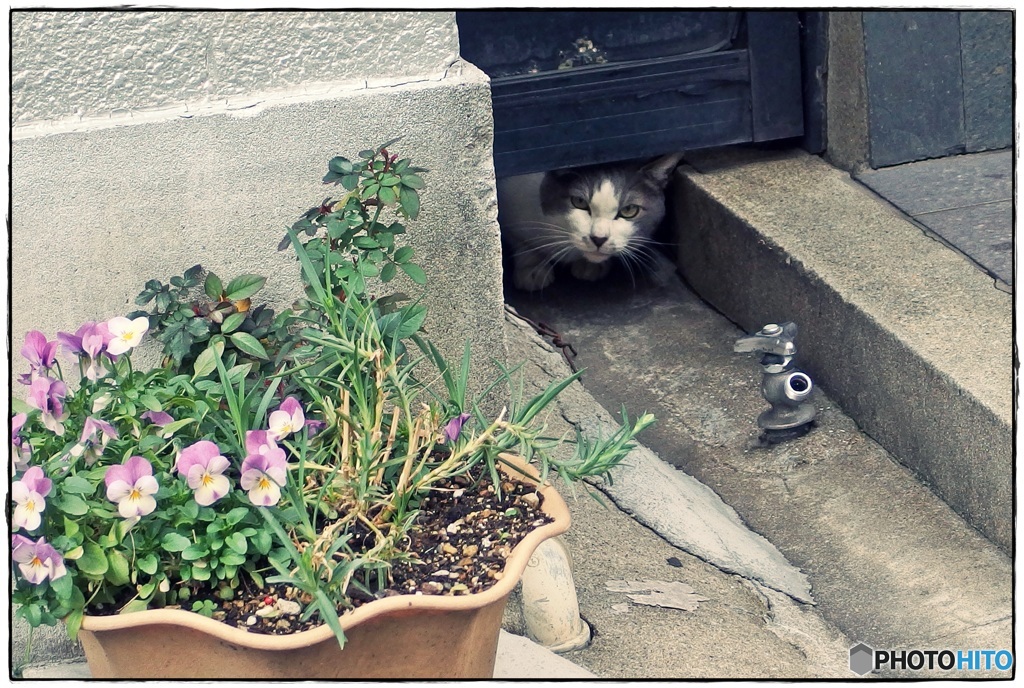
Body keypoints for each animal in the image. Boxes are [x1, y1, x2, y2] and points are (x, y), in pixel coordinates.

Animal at [499, 153, 684, 290]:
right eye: (579, 202)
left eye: (629, 210)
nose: (599, 239)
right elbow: (520, 241)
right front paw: (531, 268)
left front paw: (590, 266)